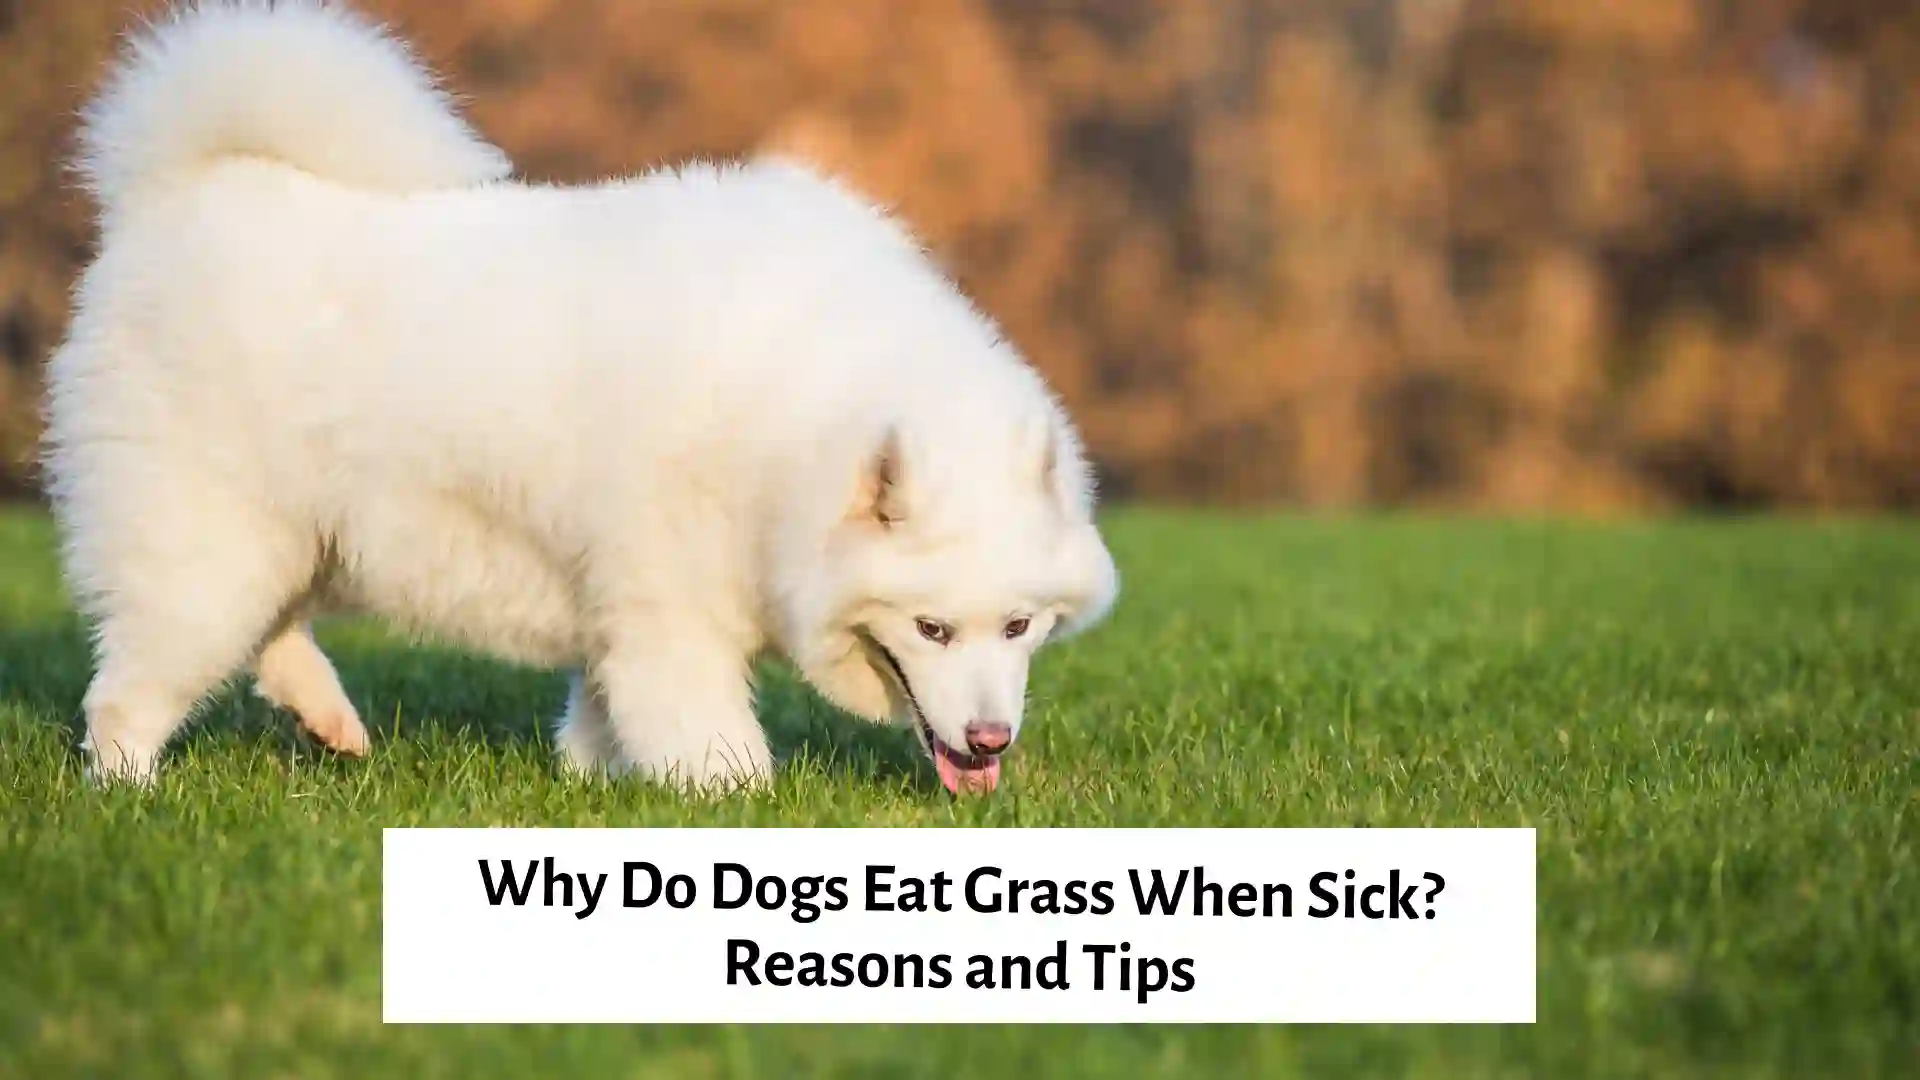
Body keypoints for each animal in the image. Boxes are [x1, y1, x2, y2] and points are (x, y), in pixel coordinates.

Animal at [45, 0, 1121, 791]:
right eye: (933, 630)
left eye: (1019, 627)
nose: (990, 742)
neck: (792, 426)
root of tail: (181, 190)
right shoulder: (668, 609)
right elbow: (711, 739)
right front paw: (726, 796)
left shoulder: (625, 610)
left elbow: (607, 712)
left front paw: (597, 779)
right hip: (208, 546)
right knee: (130, 691)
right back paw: (133, 795)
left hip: (293, 539)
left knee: (268, 637)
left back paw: (331, 722)